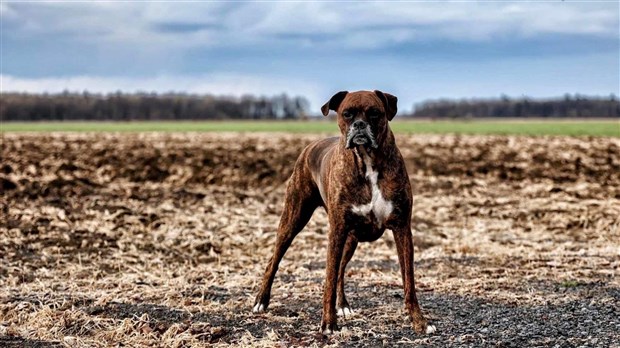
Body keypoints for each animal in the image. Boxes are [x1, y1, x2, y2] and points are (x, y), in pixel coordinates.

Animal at [252, 89, 436, 334]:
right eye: (347, 114)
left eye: (374, 113)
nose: (359, 125)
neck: (367, 160)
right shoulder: (337, 230)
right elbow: (328, 279)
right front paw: (328, 323)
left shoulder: (402, 229)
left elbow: (409, 281)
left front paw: (419, 322)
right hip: (293, 220)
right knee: (274, 261)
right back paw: (261, 301)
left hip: (351, 239)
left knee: (340, 269)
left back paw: (343, 305)